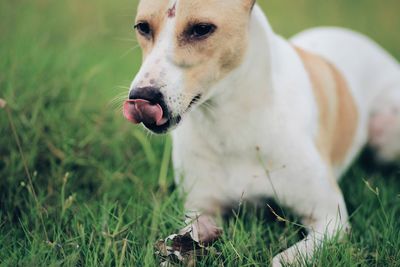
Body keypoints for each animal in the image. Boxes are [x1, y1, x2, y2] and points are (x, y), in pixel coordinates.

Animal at [122, 1, 400, 266]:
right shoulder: (200, 208)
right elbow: (188, 233)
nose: (142, 96)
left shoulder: (330, 219)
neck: (230, 122)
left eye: (201, 29)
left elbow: (282, 260)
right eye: (142, 27)